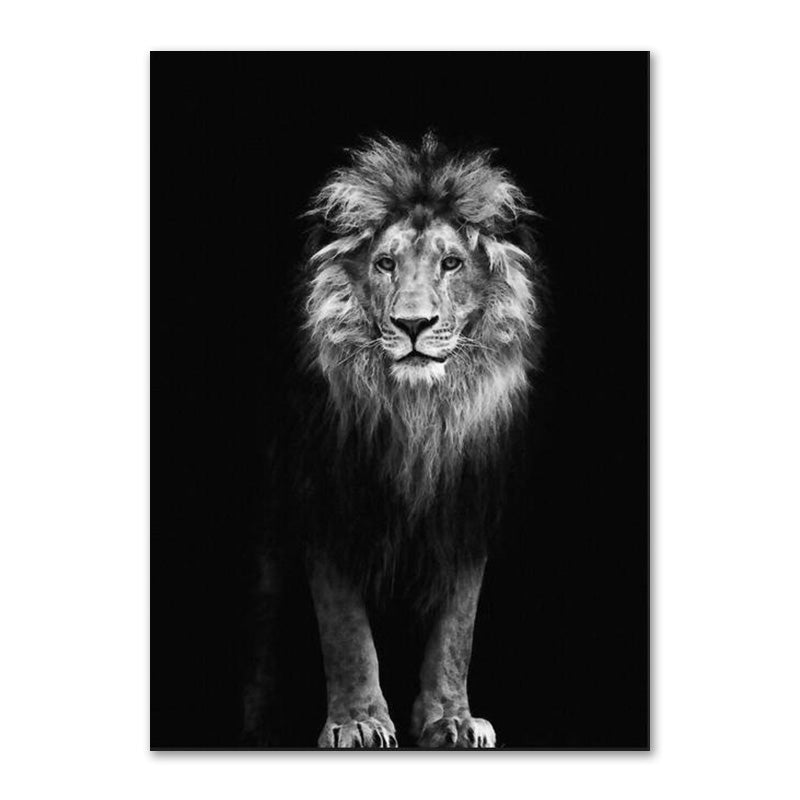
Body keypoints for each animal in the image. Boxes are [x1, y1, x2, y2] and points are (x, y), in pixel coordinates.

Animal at [270, 133, 542, 748]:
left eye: (452, 263)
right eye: (386, 263)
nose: (413, 324)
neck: (417, 417)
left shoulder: (465, 512)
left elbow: (457, 632)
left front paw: (452, 720)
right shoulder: (328, 503)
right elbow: (346, 631)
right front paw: (359, 720)